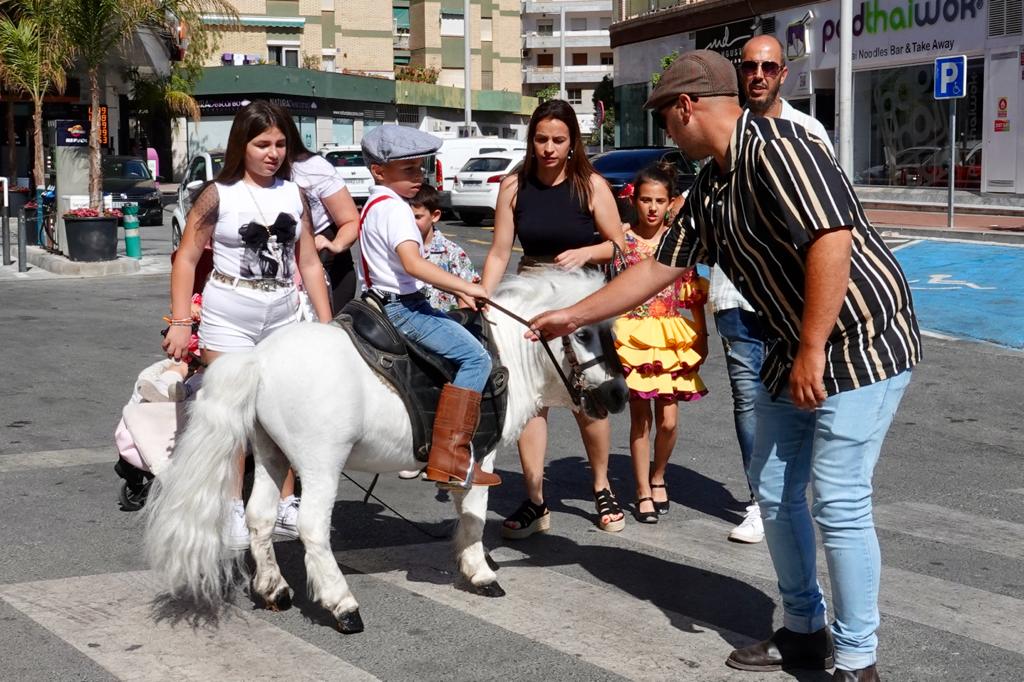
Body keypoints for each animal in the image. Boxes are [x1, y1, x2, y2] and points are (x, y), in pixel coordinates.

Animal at [142, 266, 622, 630]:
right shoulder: (480, 457)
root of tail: (260, 359)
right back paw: (342, 605)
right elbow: (474, 517)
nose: (618, 395)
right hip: (320, 463)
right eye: (583, 336)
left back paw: (274, 589)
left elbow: (465, 512)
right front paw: (481, 573)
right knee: (313, 528)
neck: (506, 356)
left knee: (260, 517)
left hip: (270, 453)